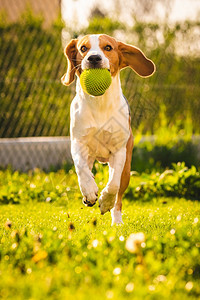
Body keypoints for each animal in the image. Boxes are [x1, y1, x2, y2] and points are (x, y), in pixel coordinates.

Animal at [61, 34, 155, 224]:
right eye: (83, 48)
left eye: (108, 48)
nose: (94, 58)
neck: (99, 102)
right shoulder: (78, 143)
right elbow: (81, 168)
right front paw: (89, 191)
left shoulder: (119, 151)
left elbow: (113, 185)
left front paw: (105, 202)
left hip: (126, 169)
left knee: (118, 194)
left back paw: (117, 220)